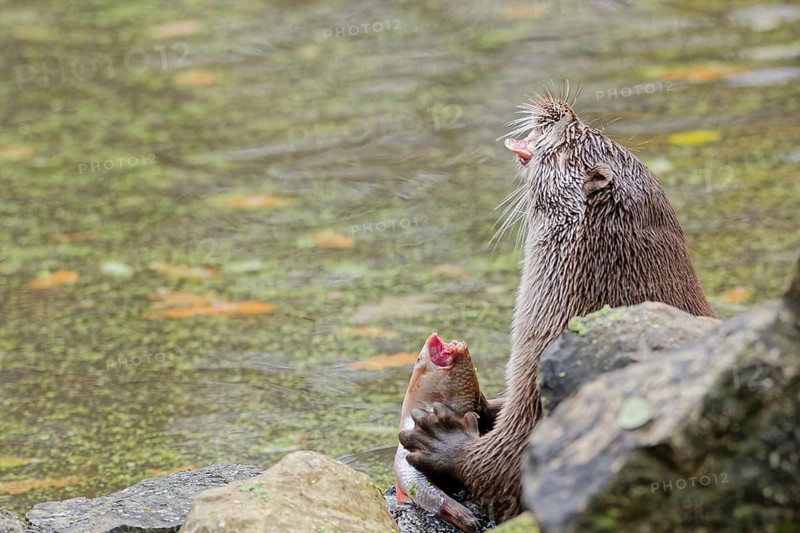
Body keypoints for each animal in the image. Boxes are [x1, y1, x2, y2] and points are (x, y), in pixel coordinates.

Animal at [399, 93, 716, 522]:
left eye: (572, 134)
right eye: (587, 127)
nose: (560, 107)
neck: (589, 300)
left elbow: (502, 467)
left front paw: (441, 441)